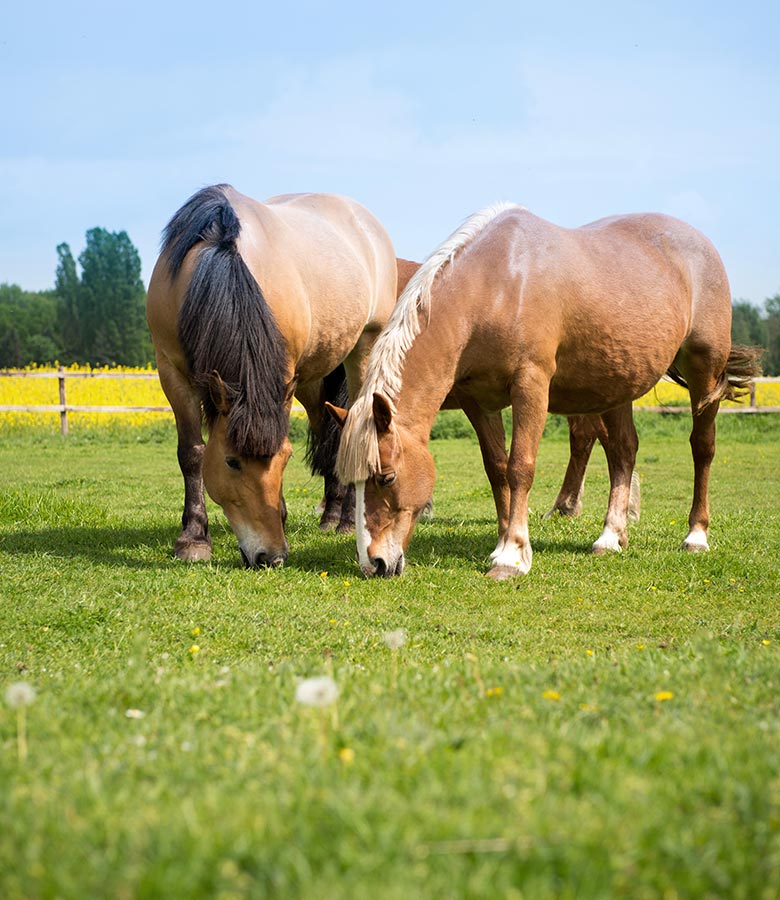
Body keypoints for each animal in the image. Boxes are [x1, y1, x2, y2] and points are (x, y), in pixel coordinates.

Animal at [148, 185, 402, 568]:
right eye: (231, 462)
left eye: (285, 459)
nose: (271, 555)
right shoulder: (171, 372)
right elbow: (191, 453)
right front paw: (193, 538)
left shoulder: (281, 375)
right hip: (313, 380)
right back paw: (330, 517)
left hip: (363, 349)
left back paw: (345, 522)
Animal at [330, 204, 760, 580]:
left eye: (386, 478)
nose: (374, 564)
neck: (499, 284)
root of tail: (698, 242)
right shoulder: (476, 400)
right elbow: (497, 468)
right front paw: (505, 539)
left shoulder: (531, 384)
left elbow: (521, 466)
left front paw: (510, 556)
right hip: (616, 384)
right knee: (623, 451)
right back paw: (610, 537)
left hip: (704, 370)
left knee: (702, 447)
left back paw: (695, 536)